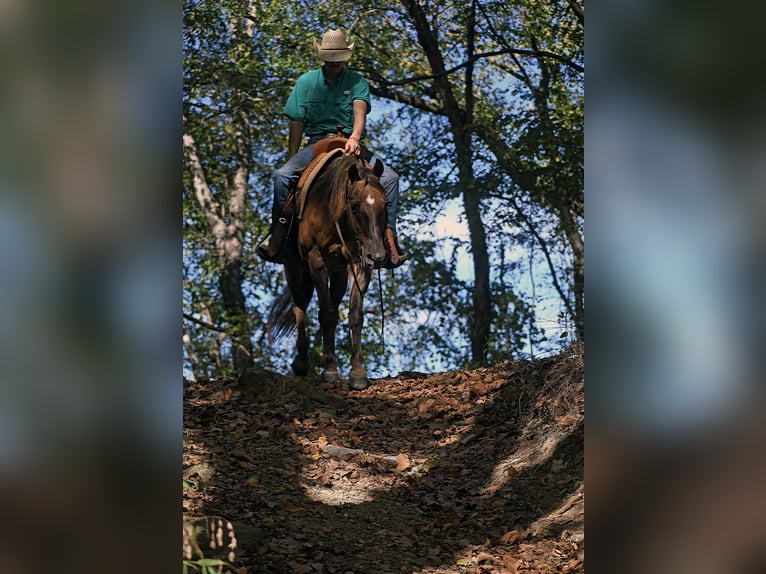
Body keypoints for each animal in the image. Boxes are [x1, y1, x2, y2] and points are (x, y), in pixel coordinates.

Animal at [269, 152, 389, 390]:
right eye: (354, 206)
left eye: (385, 204)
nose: (378, 256)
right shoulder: (316, 260)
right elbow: (327, 314)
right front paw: (331, 370)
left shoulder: (359, 264)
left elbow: (354, 315)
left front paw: (358, 373)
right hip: (293, 266)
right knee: (299, 304)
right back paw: (301, 362)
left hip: (339, 274)